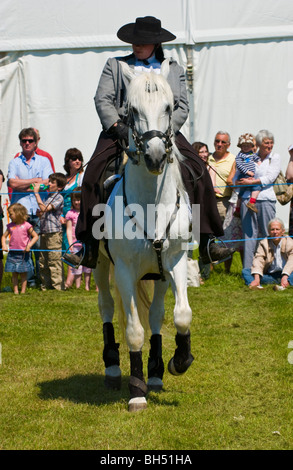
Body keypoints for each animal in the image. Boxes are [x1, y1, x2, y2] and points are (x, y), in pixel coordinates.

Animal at [93, 60, 193, 414]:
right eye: (132, 110)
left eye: (169, 106)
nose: (154, 156)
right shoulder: (123, 270)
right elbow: (134, 331)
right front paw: (136, 391)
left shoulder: (175, 263)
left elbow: (180, 315)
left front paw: (178, 361)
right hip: (101, 267)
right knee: (107, 308)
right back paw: (112, 368)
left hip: (158, 275)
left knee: (156, 314)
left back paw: (157, 372)